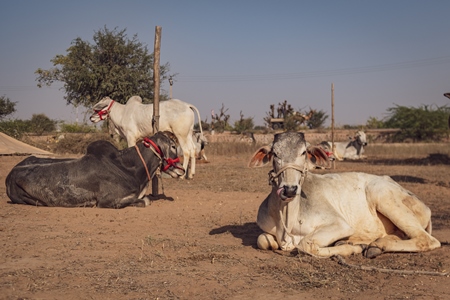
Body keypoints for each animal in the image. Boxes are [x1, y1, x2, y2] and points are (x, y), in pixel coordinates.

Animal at [5, 131, 185, 209]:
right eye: (173, 146)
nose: (182, 170)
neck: (128, 167)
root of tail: (9, 175)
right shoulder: (108, 201)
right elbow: (144, 201)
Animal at [248, 132, 442, 258]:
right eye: (275, 153)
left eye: (303, 152)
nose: (289, 189)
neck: (288, 215)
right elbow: (262, 240)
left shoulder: (340, 225)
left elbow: (305, 245)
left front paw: (352, 249)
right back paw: (373, 245)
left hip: (383, 196)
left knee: (427, 240)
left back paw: (372, 245)